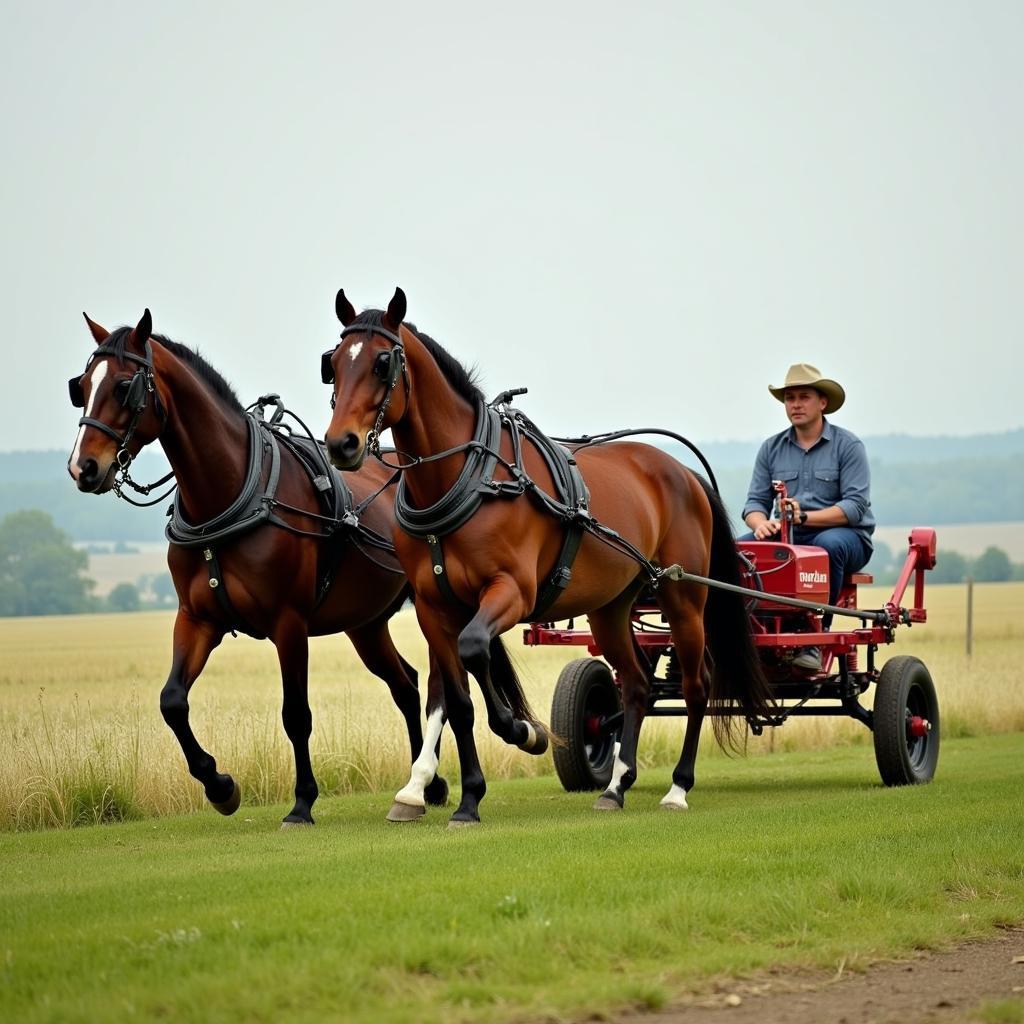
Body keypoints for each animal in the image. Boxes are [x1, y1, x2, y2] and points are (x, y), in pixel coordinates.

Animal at [66, 307, 446, 827]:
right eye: (82, 385)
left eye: (125, 386)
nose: (82, 467)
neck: (227, 495)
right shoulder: (197, 619)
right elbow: (172, 702)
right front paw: (220, 786)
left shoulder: (289, 623)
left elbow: (296, 714)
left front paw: (302, 801)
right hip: (365, 624)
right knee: (406, 686)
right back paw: (429, 784)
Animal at [319, 286, 770, 823]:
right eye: (332, 364)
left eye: (382, 362)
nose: (340, 443)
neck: (463, 480)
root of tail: (683, 472)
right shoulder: (433, 607)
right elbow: (458, 701)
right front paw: (467, 798)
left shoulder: (512, 592)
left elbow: (475, 649)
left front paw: (524, 731)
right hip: (611, 606)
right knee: (636, 684)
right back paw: (616, 786)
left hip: (683, 598)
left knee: (698, 685)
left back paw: (678, 787)